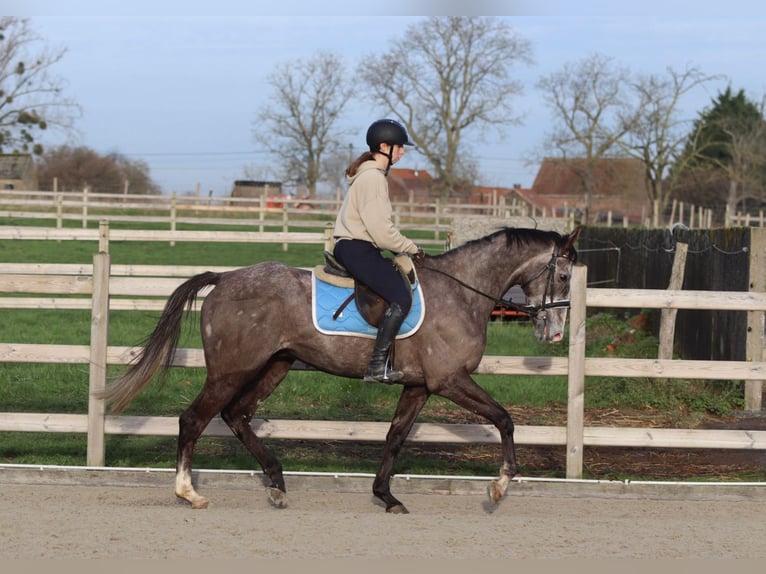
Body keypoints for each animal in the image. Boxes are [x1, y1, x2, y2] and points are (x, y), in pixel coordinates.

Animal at [97, 226, 581, 514]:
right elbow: (504, 419)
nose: (555, 332)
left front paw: (386, 496)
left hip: (275, 366)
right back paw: (189, 492)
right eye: (562, 276)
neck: (462, 293)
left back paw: (276, 482)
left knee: (237, 415)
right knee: (194, 419)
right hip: (232, 370)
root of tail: (225, 278)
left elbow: (395, 437)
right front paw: (500, 487)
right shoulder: (450, 381)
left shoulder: (420, 387)